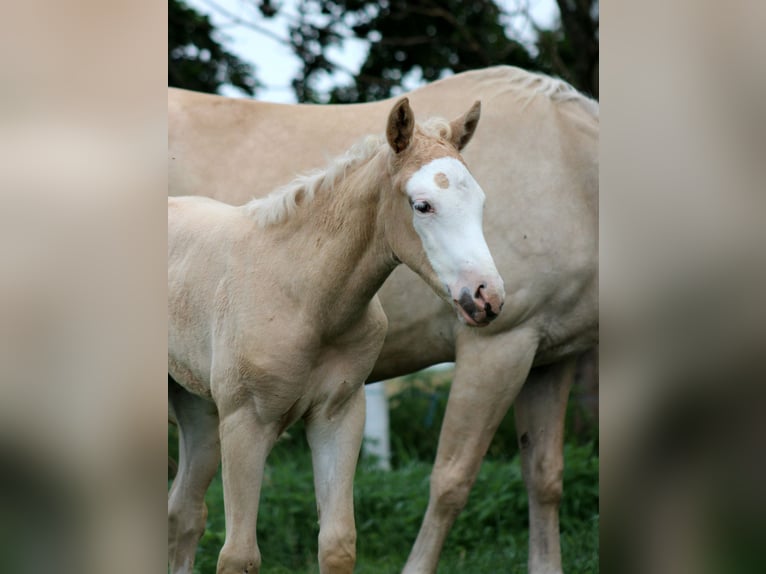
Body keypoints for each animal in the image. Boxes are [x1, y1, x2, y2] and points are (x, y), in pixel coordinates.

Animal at [168, 66, 598, 573]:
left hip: (197, 409)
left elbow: (544, 476)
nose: (487, 297)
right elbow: (451, 480)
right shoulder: (500, 346)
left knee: (184, 512)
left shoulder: (548, 358)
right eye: (422, 205)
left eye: (481, 203)